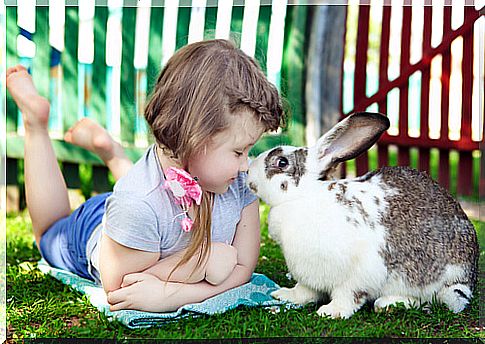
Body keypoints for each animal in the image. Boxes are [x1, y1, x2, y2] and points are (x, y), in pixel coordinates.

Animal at [248, 111, 478, 318]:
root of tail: (471, 275)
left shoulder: (360, 273)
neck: (301, 197)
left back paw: (389, 303)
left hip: (444, 285)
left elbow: (348, 295)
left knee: (432, 300)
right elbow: (304, 291)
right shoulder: (308, 276)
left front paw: (331, 312)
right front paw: (284, 295)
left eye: (282, 162)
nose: (249, 174)